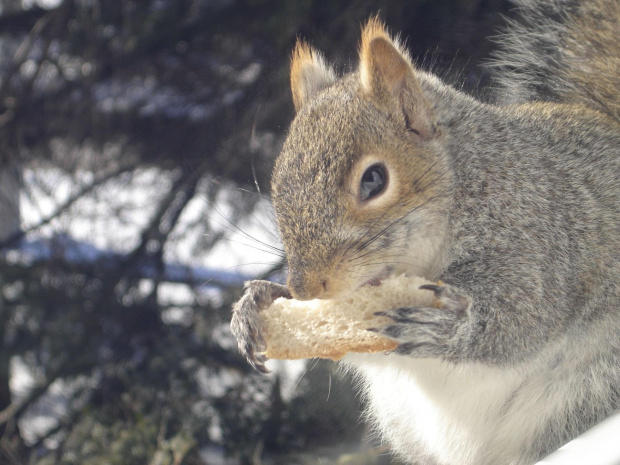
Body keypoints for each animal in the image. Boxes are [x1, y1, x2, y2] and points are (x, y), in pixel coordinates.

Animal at [230, 1, 620, 462]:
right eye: (277, 180)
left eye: (374, 180)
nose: (306, 289)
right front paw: (257, 302)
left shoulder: (544, 235)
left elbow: (526, 312)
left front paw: (447, 324)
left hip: (590, 389)